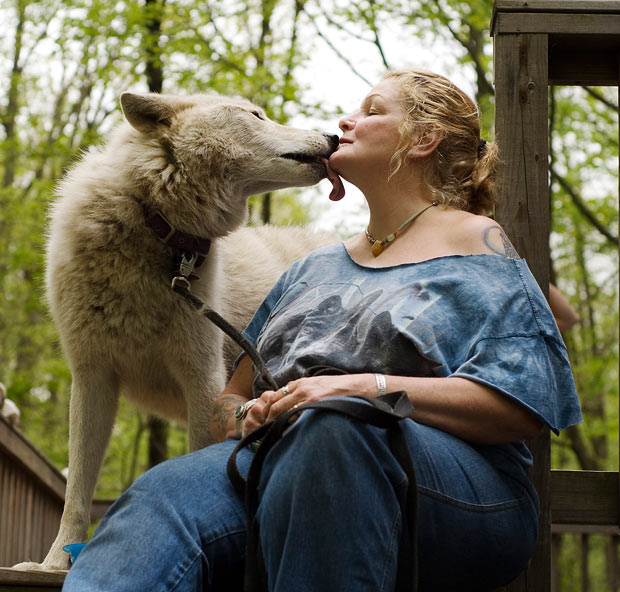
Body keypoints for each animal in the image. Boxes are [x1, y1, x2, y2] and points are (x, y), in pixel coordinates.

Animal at [17, 91, 340, 568]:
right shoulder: (92, 376)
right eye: (255, 115)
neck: (157, 228)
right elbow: (75, 492)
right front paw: (54, 564)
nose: (334, 136)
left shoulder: (203, 378)